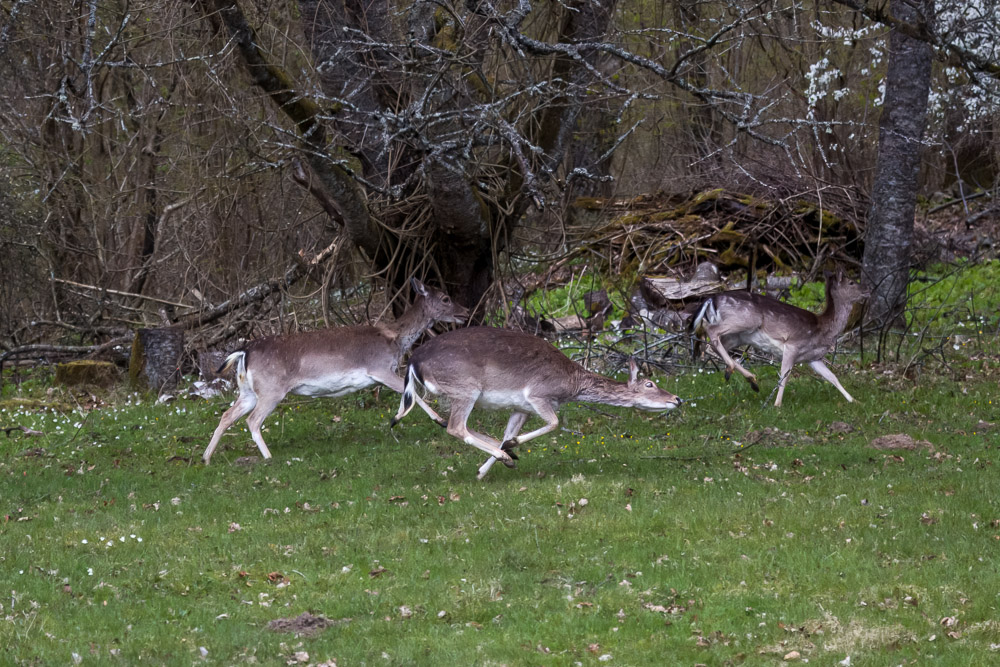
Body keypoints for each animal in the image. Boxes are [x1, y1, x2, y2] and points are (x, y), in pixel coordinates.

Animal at [205, 280, 470, 464]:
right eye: (446, 298)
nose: (466, 311)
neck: (395, 339)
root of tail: (244, 352)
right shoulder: (380, 368)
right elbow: (415, 395)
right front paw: (440, 420)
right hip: (271, 389)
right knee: (252, 420)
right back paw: (269, 457)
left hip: (249, 390)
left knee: (227, 415)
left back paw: (206, 458)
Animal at [388, 328, 680, 474]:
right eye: (650, 384)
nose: (677, 398)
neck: (571, 384)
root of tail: (413, 361)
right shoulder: (538, 394)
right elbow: (555, 423)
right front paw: (509, 450)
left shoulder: (521, 407)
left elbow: (508, 432)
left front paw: (486, 468)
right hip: (464, 387)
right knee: (455, 426)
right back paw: (503, 452)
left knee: (450, 421)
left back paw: (504, 454)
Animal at [692, 268, 872, 408]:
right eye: (851, 282)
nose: (867, 288)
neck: (823, 329)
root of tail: (711, 299)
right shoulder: (793, 344)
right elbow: (784, 375)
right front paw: (777, 404)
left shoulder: (813, 357)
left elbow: (832, 377)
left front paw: (855, 400)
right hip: (745, 320)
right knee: (711, 331)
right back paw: (739, 372)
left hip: (737, 336)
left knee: (714, 346)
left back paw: (749, 379)